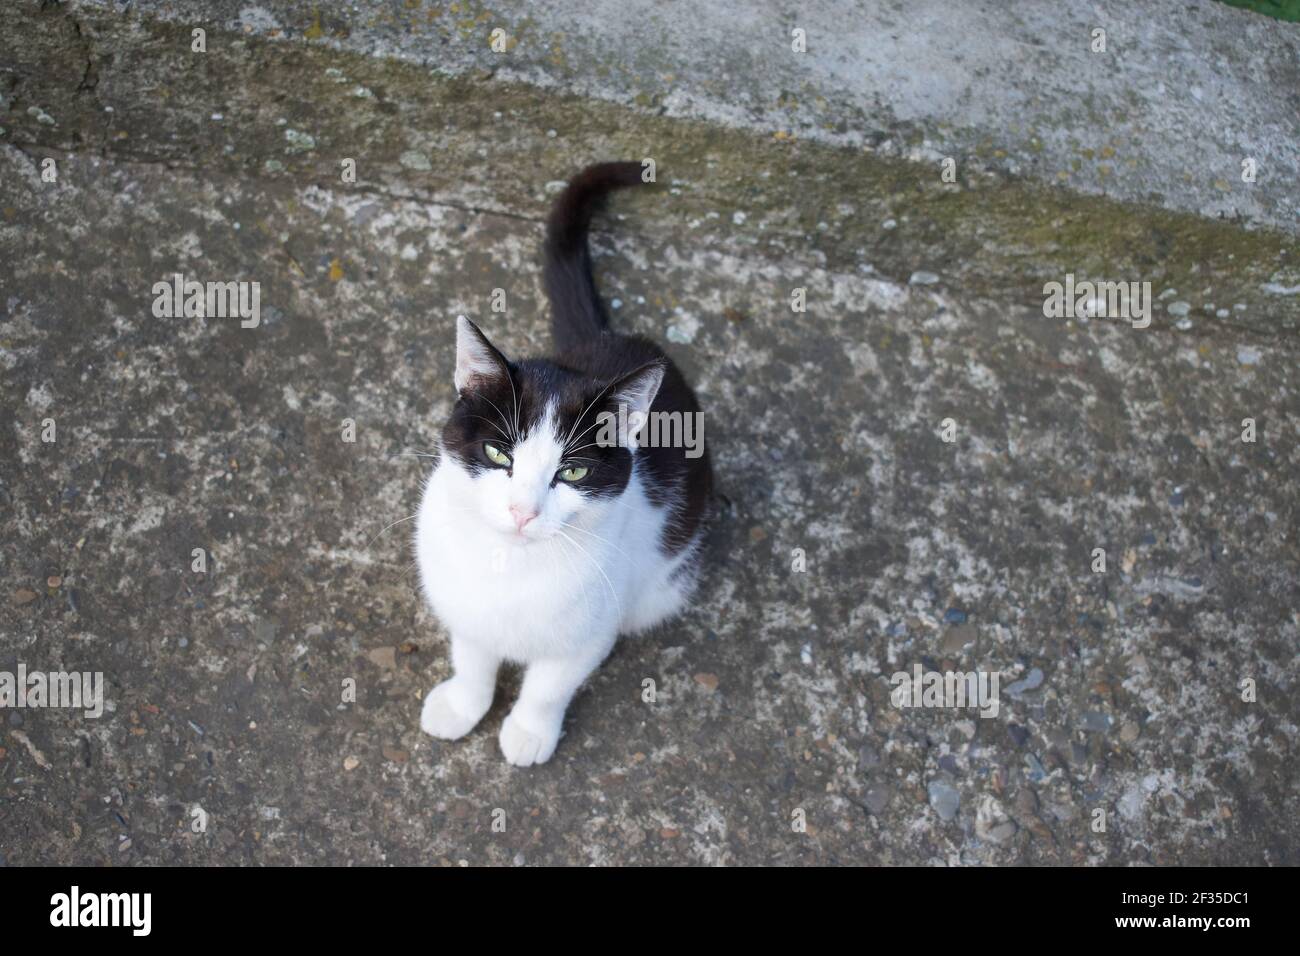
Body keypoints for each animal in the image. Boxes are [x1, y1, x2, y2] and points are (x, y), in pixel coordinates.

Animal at [416, 160, 717, 764]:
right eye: (498, 453)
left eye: (572, 472)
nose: (523, 512)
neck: (510, 566)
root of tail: (608, 338)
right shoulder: (463, 601)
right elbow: (472, 656)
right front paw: (463, 704)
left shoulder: (591, 629)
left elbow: (549, 685)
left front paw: (529, 732)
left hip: (661, 585)